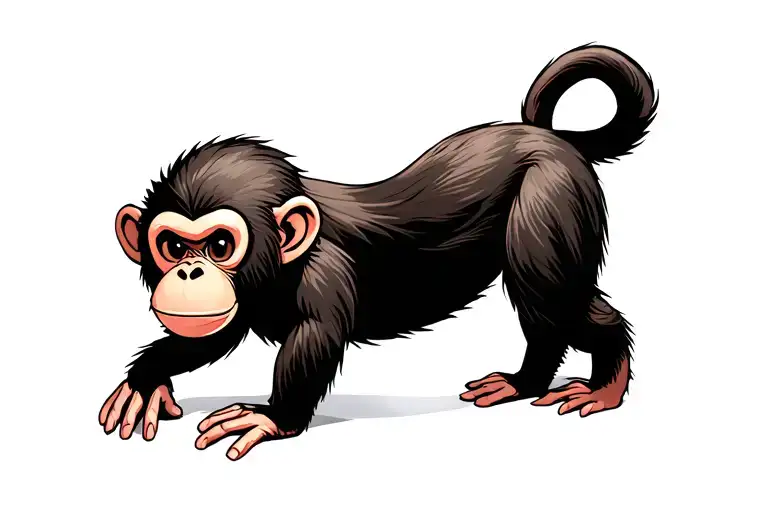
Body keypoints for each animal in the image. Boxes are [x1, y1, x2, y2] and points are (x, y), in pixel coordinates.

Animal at [99, 43, 657, 461]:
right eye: (174, 246)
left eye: (218, 244)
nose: (190, 273)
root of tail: (552, 136)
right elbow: (213, 337)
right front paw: (147, 378)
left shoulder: (324, 274)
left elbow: (315, 340)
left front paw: (271, 417)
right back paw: (528, 382)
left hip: (550, 199)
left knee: (549, 298)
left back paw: (599, 381)